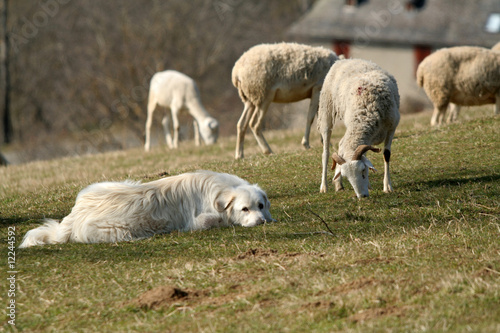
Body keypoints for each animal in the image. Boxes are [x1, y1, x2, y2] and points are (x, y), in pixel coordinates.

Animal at [20, 171, 274, 246]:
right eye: (244, 209)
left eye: (260, 206)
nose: (261, 221)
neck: (219, 192)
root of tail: (73, 216)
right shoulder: (199, 221)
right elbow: (216, 220)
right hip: (119, 232)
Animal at [318, 58, 400, 198]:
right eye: (347, 177)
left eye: (363, 170)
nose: (362, 196)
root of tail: (346, 60)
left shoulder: (391, 127)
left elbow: (386, 154)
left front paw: (387, 186)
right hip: (326, 109)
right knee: (326, 152)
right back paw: (324, 186)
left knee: (340, 144)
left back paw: (338, 185)